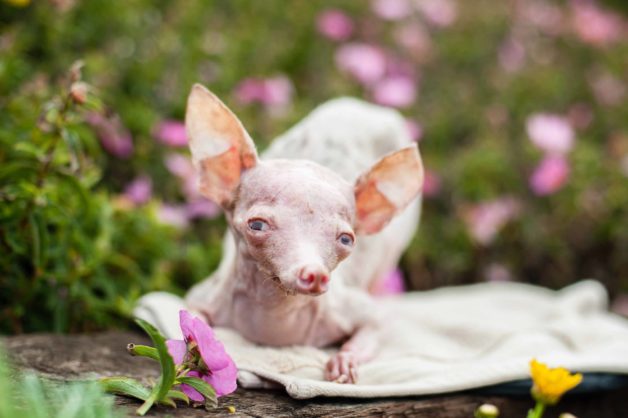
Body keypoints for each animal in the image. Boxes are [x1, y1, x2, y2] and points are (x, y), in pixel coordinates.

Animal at [184, 85, 424, 386]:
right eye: (257, 225)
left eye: (346, 240)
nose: (315, 273)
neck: (276, 319)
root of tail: (368, 108)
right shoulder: (204, 296)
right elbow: (190, 321)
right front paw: (204, 352)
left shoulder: (351, 309)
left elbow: (376, 322)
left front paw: (344, 362)